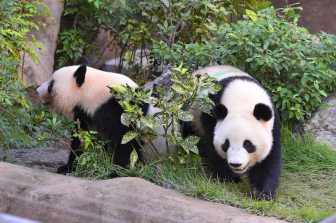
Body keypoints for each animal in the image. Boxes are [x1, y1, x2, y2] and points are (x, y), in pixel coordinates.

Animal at [36, 64, 171, 172]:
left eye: (51, 85)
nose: (37, 90)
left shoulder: (120, 111)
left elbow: (125, 143)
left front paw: (117, 172)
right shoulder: (87, 115)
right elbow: (82, 139)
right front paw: (68, 167)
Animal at [189, 65, 280, 200]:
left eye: (248, 144)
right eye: (226, 144)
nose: (236, 164)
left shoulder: (272, 123)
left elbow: (269, 157)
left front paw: (262, 193)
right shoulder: (210, 112)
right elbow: (212, 147)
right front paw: (228, 178)